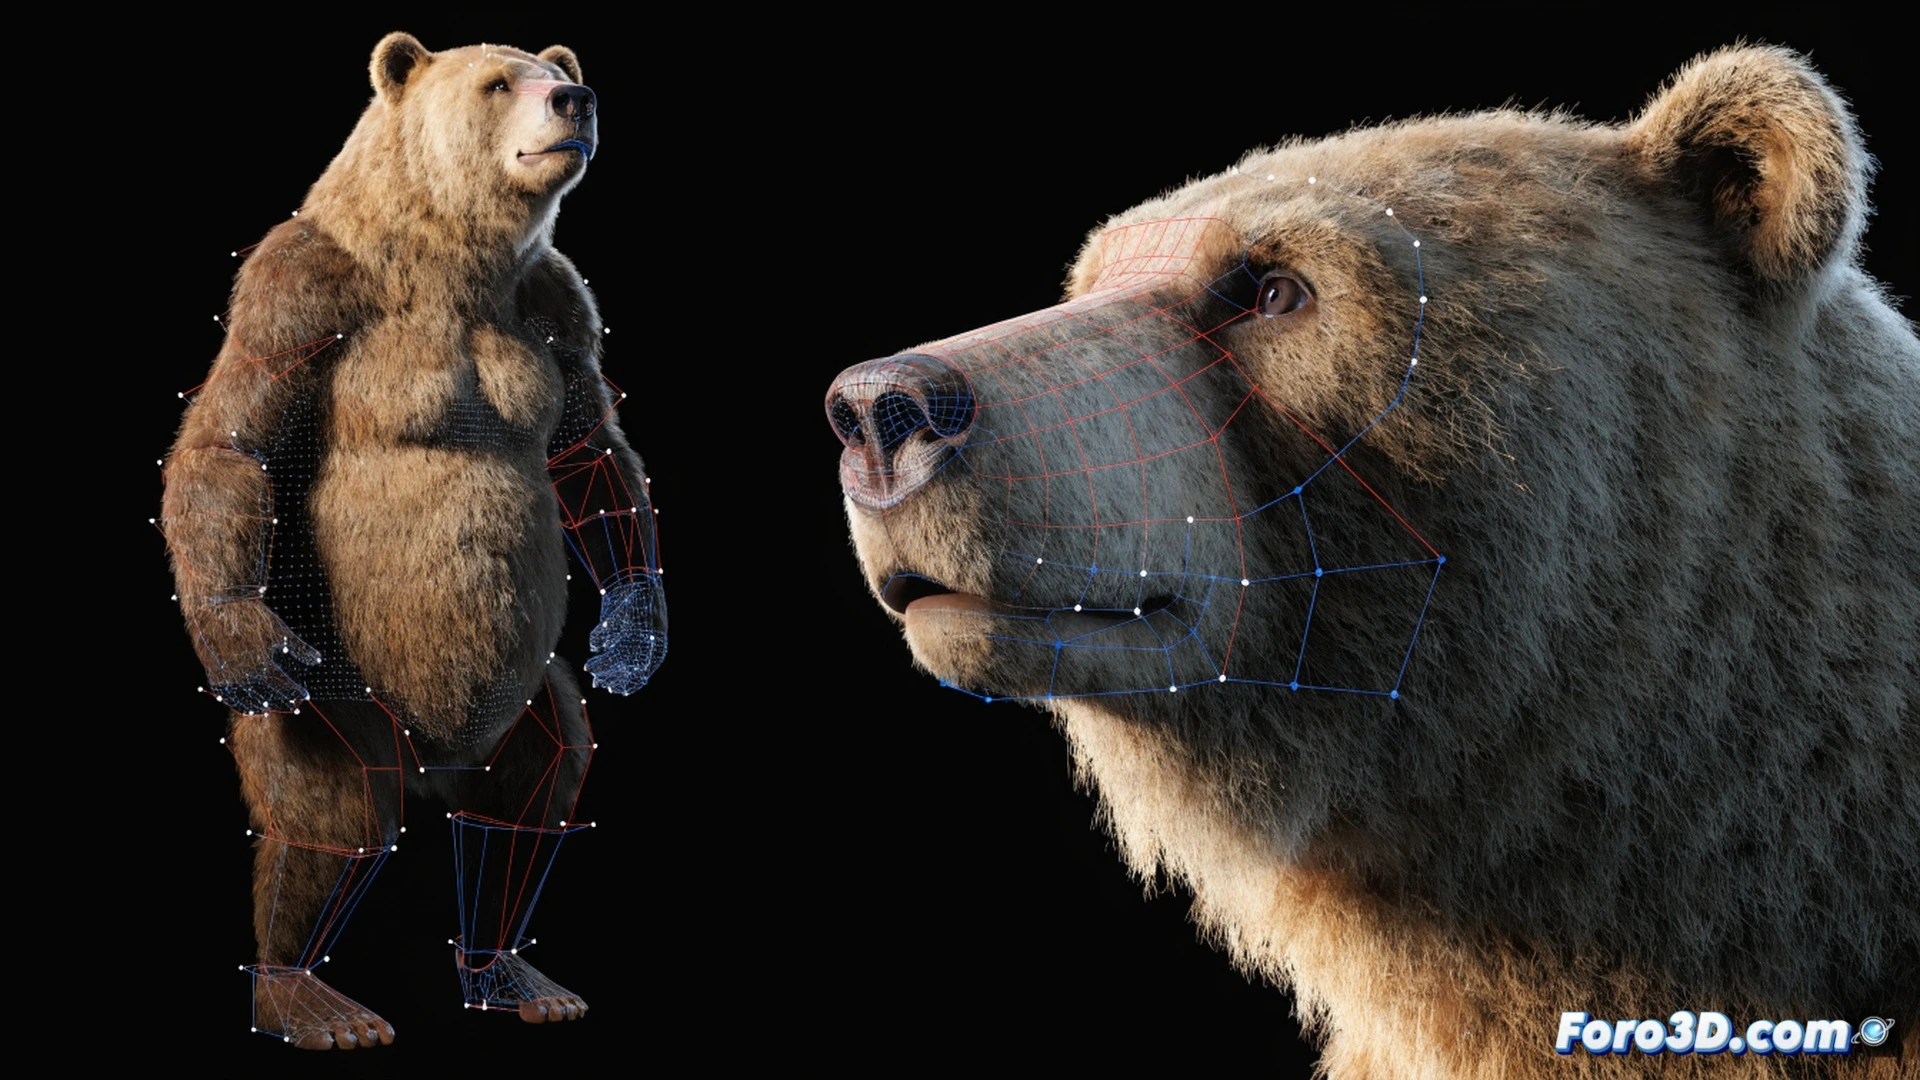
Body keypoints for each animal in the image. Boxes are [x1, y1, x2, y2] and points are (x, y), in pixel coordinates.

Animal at [157, 32, 665, 1049]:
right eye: (501, 82)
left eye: (554, 74)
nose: (577, 100)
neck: (448, 254)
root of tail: (439, 763)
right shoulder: (299, 287)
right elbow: (233, 439)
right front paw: (235, 640)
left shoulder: (555, 300)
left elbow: (586, 448)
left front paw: (634, 632)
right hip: (340, 671)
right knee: (338, 801)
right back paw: (309, 997)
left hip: (519, 689)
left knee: (538, 778)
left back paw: (511, 969)